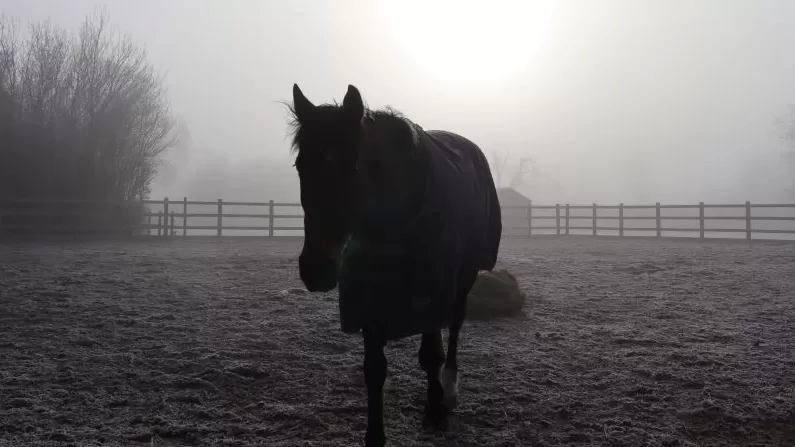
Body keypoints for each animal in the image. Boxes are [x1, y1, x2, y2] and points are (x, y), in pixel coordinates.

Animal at [287, 83, 502, 447]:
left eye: (352, 167)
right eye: (301, 166)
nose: (315, 269)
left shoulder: (432, 288)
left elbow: (430, 354)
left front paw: (435, 408)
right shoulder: (368, 299)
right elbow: (374, 369)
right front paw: (375, 435)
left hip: (465, 276)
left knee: (455, 323)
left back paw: (449, 386)